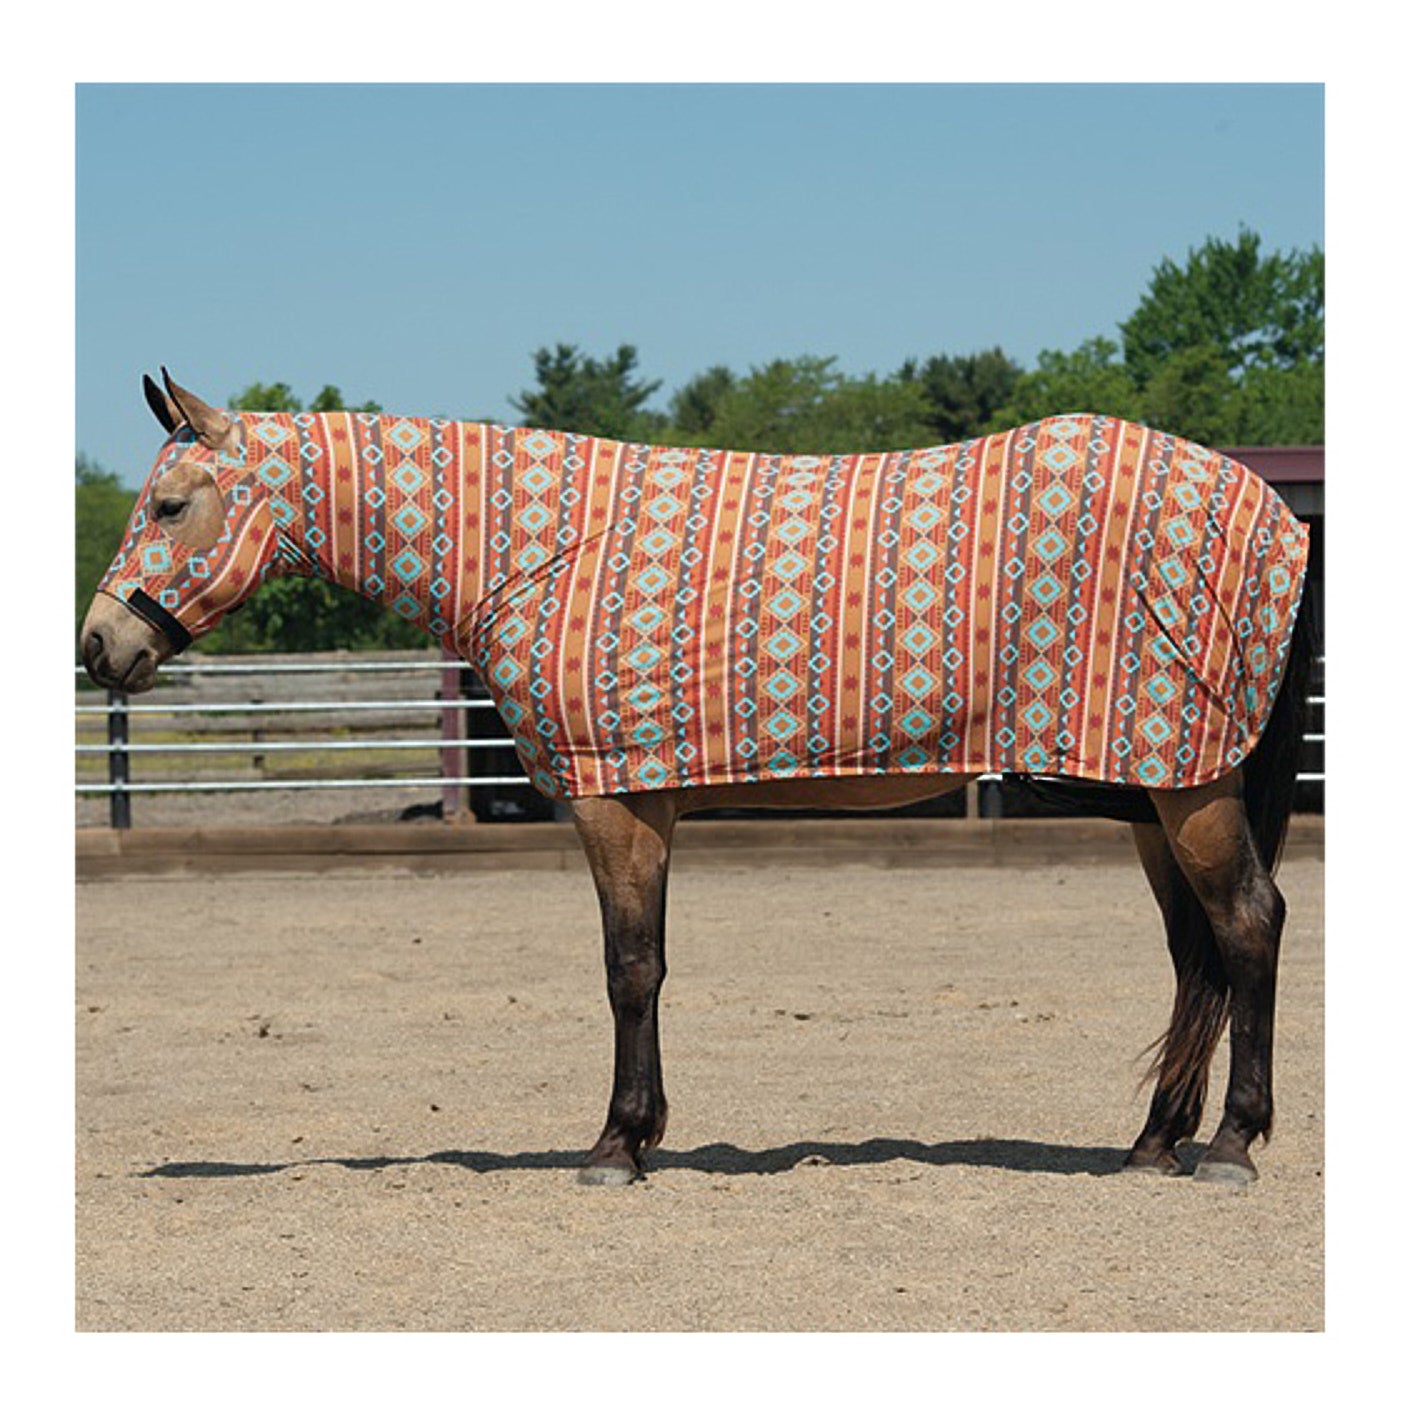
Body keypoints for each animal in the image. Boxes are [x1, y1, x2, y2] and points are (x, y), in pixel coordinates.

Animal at [81, 370, 1314, 1189]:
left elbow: (628, 969)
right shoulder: (649, 802)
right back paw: (1151, 1142)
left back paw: (1227, 1146)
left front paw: (614, 1145)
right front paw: (642, 1130)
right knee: (1196, 956)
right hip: (1154, 790)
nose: (100, 645)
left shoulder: (610, 802)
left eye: (171, 503)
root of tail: (1270, 511)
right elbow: (652, 963)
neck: (544, 548)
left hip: (1186, 790)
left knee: (1248, 927)